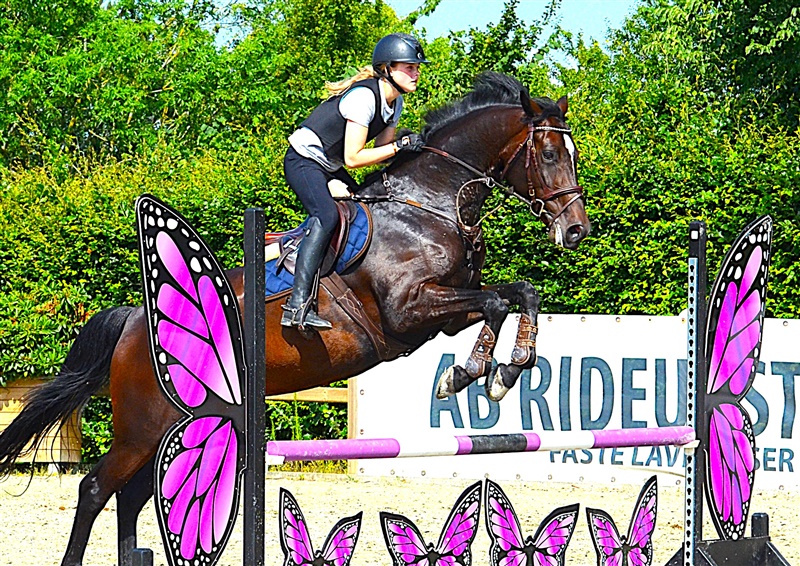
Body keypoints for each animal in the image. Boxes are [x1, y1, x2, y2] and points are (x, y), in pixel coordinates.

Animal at [0, 72, 589, 566]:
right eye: (548, 153)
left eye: (574, 154)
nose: (576, 230)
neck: (428, 205)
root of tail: (131, 323)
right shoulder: (409, 310)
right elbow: (495, 302)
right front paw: (473, 375)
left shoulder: (442, 313)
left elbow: (518, 294)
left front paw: (505, 368)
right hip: (142, 428)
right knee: (95, 489)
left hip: (171, 428)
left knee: (132, 494)